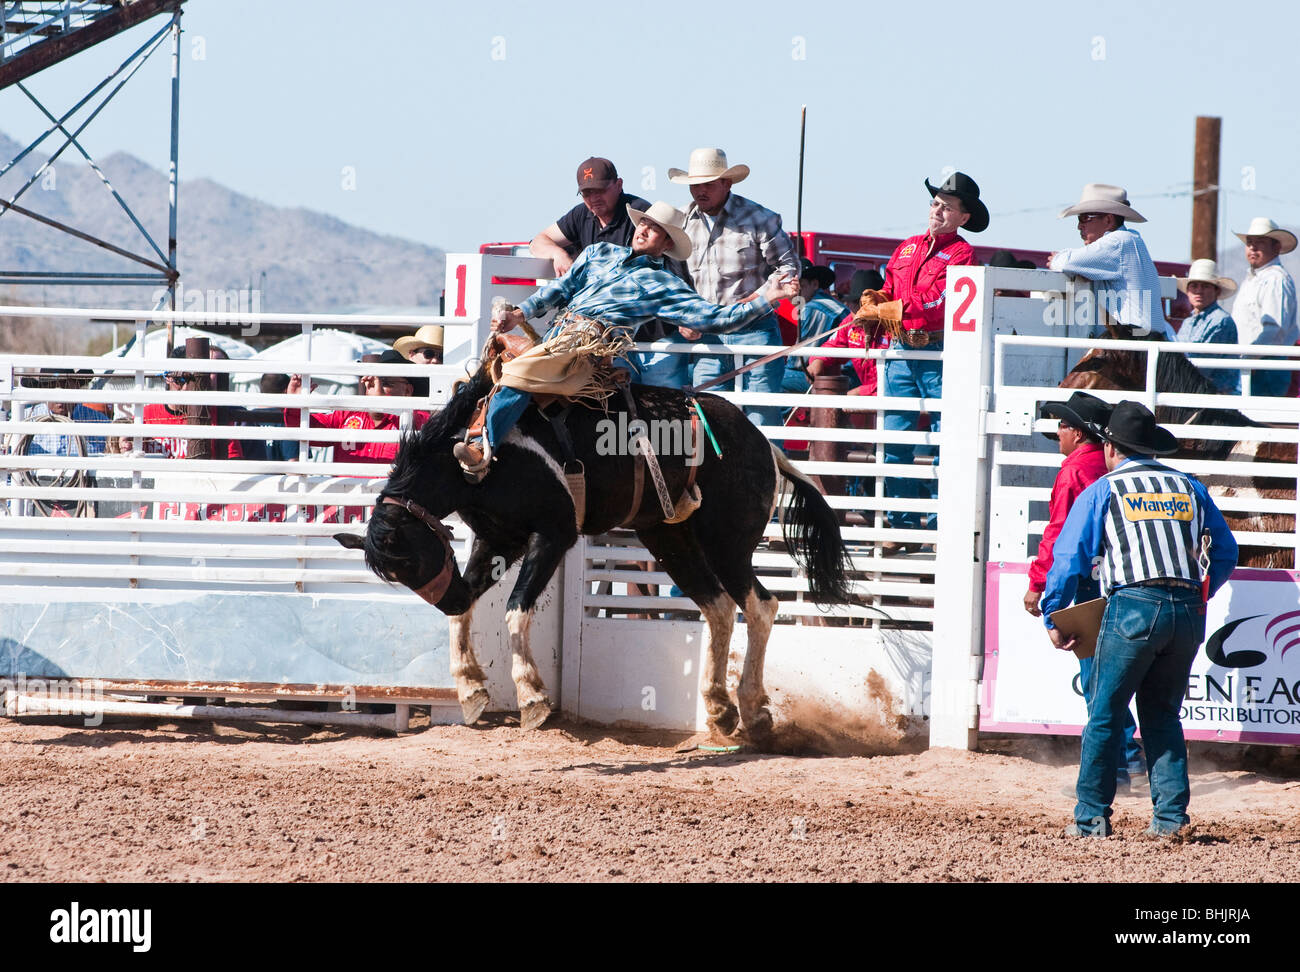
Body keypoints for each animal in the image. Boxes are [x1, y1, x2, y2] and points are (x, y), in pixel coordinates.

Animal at [335, 345, 863, 738]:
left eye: (411, 559)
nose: (446, 598)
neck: (480, 449)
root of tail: (764, 444)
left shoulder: (552, 535)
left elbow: (516, 608)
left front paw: (531, 695)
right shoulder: (496, 539)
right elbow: (469, 612)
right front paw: (470, 689)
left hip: (727, 541)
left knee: (759, 607)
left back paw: (753, 710)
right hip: (669, 537)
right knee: (716, 607)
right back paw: (719, 707)